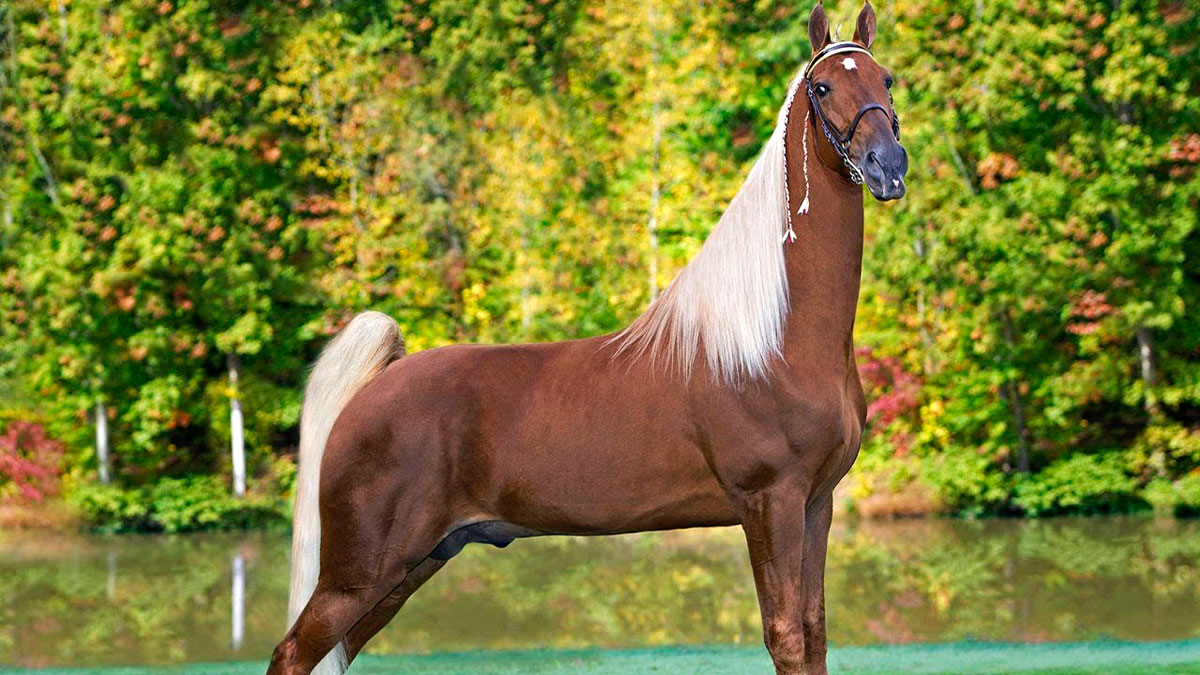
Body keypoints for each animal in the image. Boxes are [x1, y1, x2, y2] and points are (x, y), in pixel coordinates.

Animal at [268, 2, 907, 674]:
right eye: (823, 87)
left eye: (886, 80)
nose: (888, 165)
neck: (774, 340)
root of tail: (379, 381)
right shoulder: (771, 503)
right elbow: (786, 635)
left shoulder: (816, 505)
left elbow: (813, 631)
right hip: (362, 571)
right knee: (292, 652)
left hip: (411, 566)